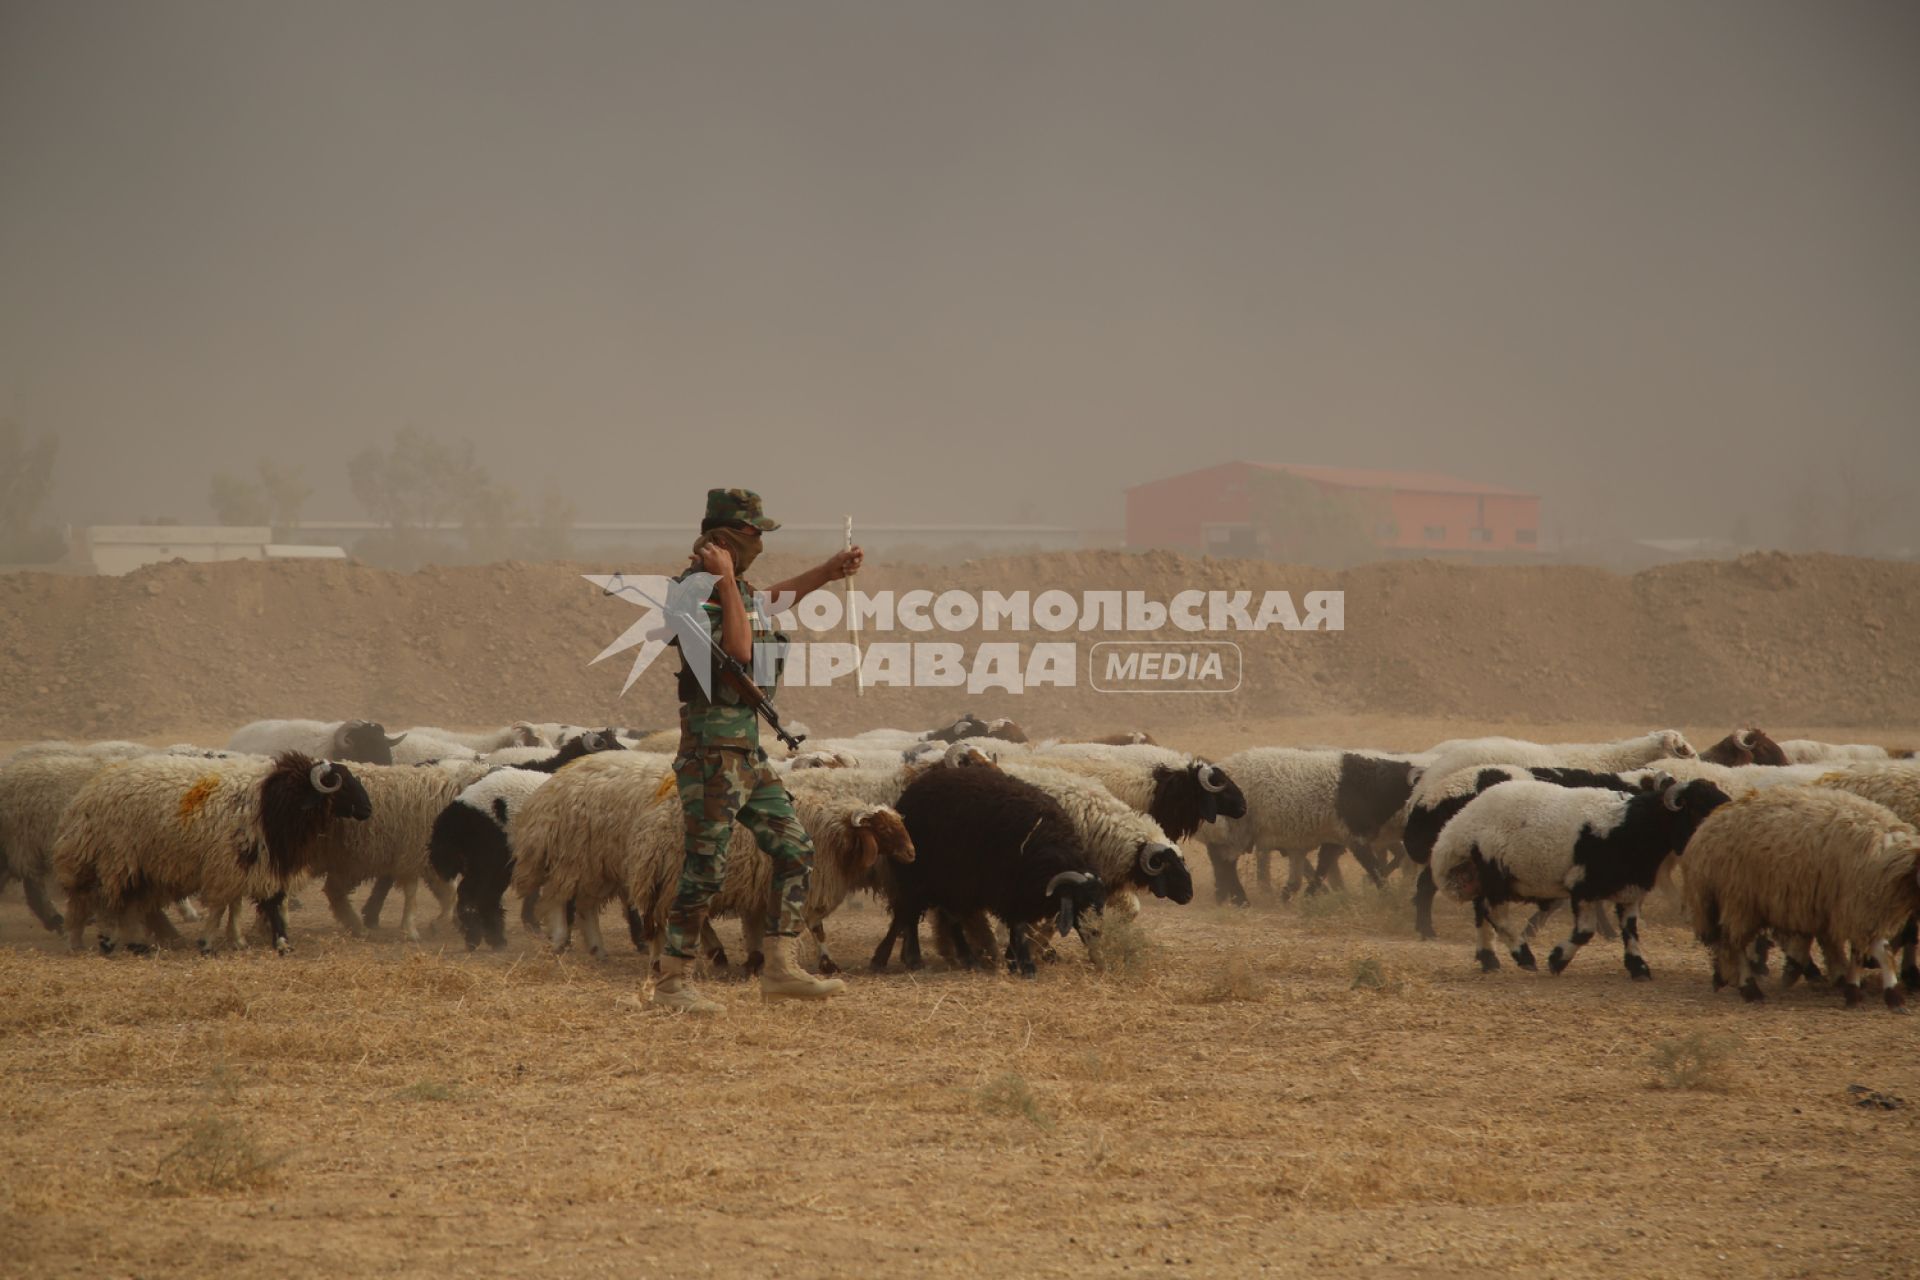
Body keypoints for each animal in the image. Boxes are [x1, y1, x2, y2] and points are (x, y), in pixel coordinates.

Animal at [56, 756, 370, 955]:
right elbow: (226, 905)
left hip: (136, 866)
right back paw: (99, 941)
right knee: (101, 899)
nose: (368, 809)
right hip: (114, 858)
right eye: (342, 782)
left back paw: (133, 943)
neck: (273, 802)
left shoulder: (254, 864)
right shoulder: (230, 862)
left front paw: (243, 941)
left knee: (122, 902)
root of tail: (86, 795)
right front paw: (210, 943)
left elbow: (244, 904)